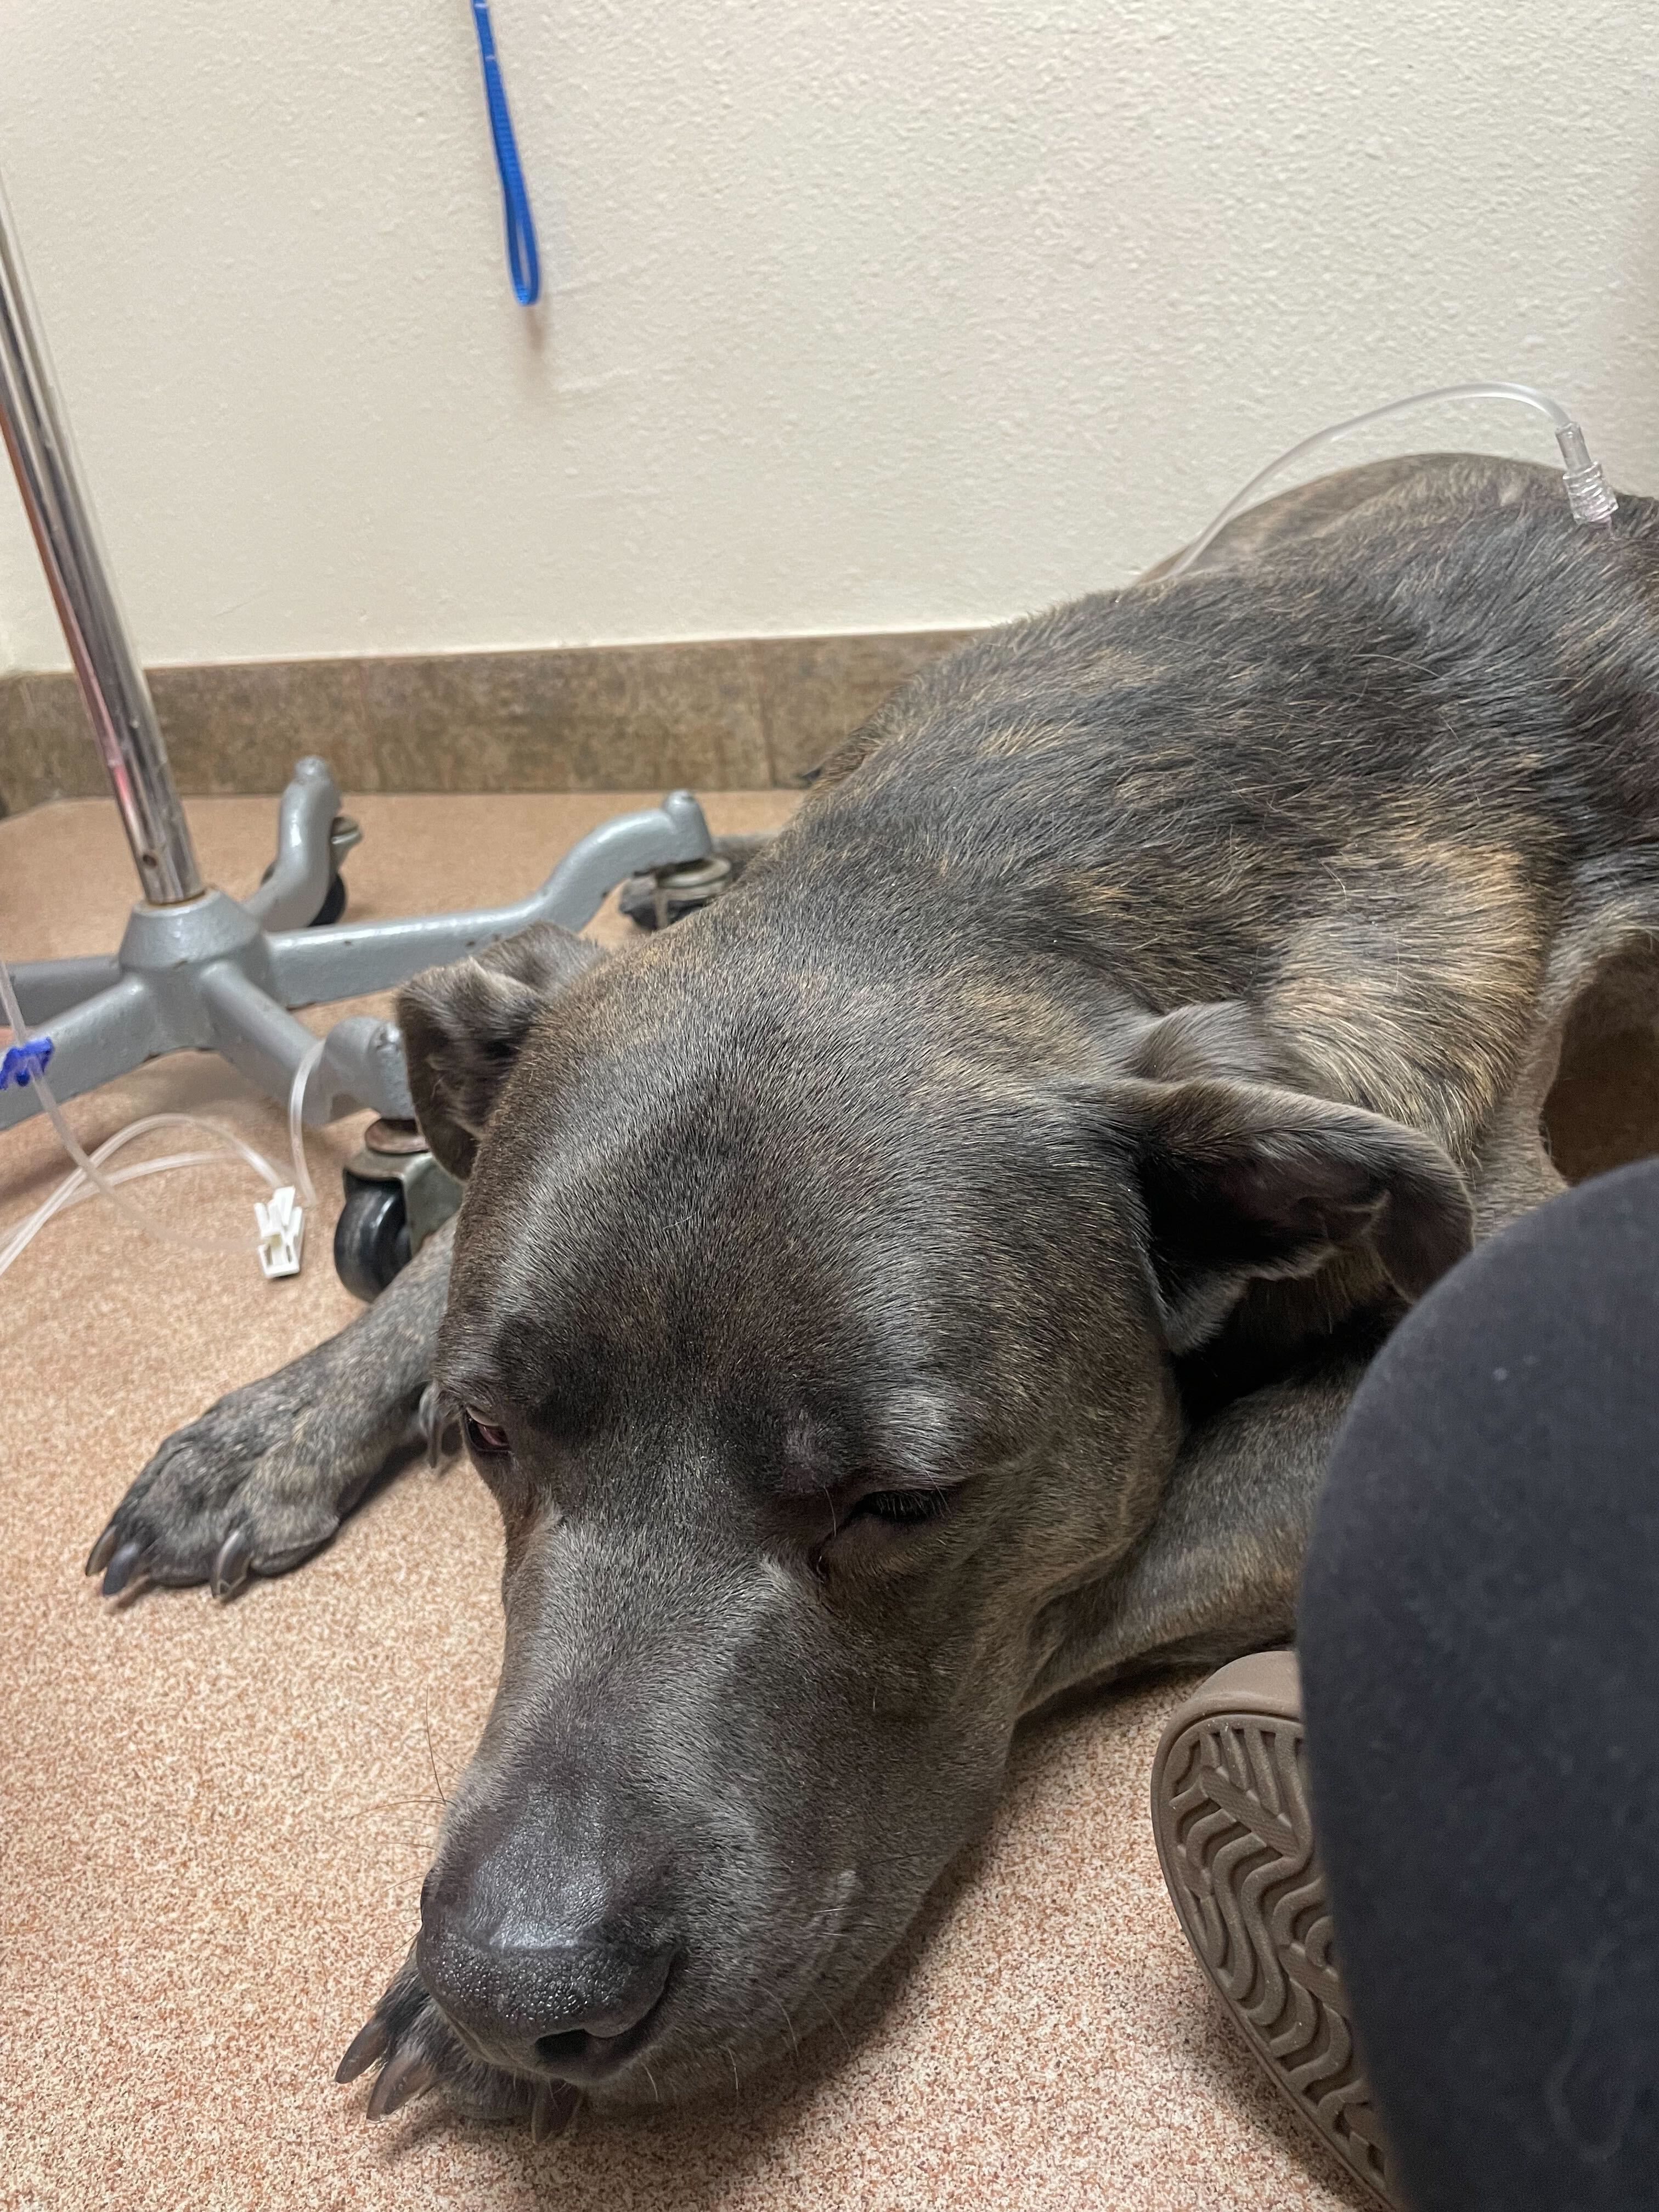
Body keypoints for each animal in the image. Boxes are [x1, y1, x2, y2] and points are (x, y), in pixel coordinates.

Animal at [84, 453, 1659, 2132]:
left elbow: (1104, 1572)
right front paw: (278, 1426)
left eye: (901, 1505)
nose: (519, 1991)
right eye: (489, 1435)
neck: (995, 869)